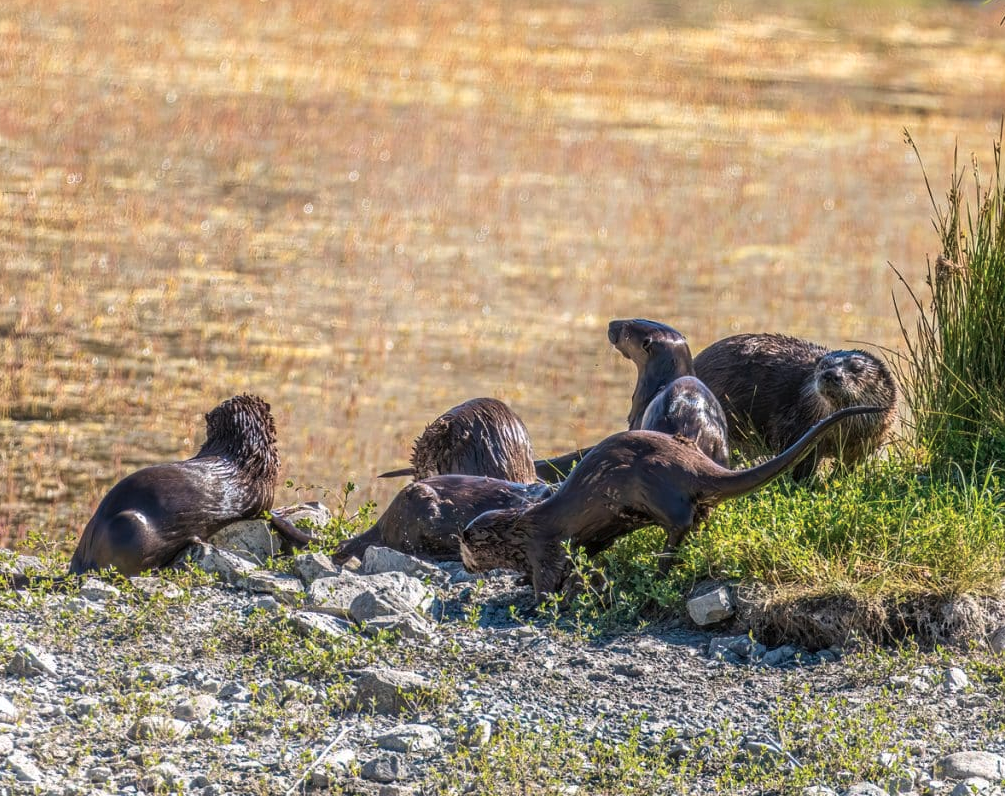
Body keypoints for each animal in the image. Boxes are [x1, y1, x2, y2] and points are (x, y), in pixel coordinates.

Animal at [459, 405, 885, 596]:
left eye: (464, 548)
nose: (463, 565)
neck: (519, 529)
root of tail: (692, 463)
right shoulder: (583, 540)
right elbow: (585, 553)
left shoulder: (542, 544)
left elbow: (548, 576)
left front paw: (532, 597)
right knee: (701, 517)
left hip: (654, 483)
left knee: (679, 522)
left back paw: (660, 569)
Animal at [693, 333, 898, 481]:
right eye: (824, 365)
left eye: (856, 368)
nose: (831, 374)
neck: (843, 433)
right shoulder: (794, 425)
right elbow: (799, 463)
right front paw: (808, 484)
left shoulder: (866, 443)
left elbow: (848, 466)